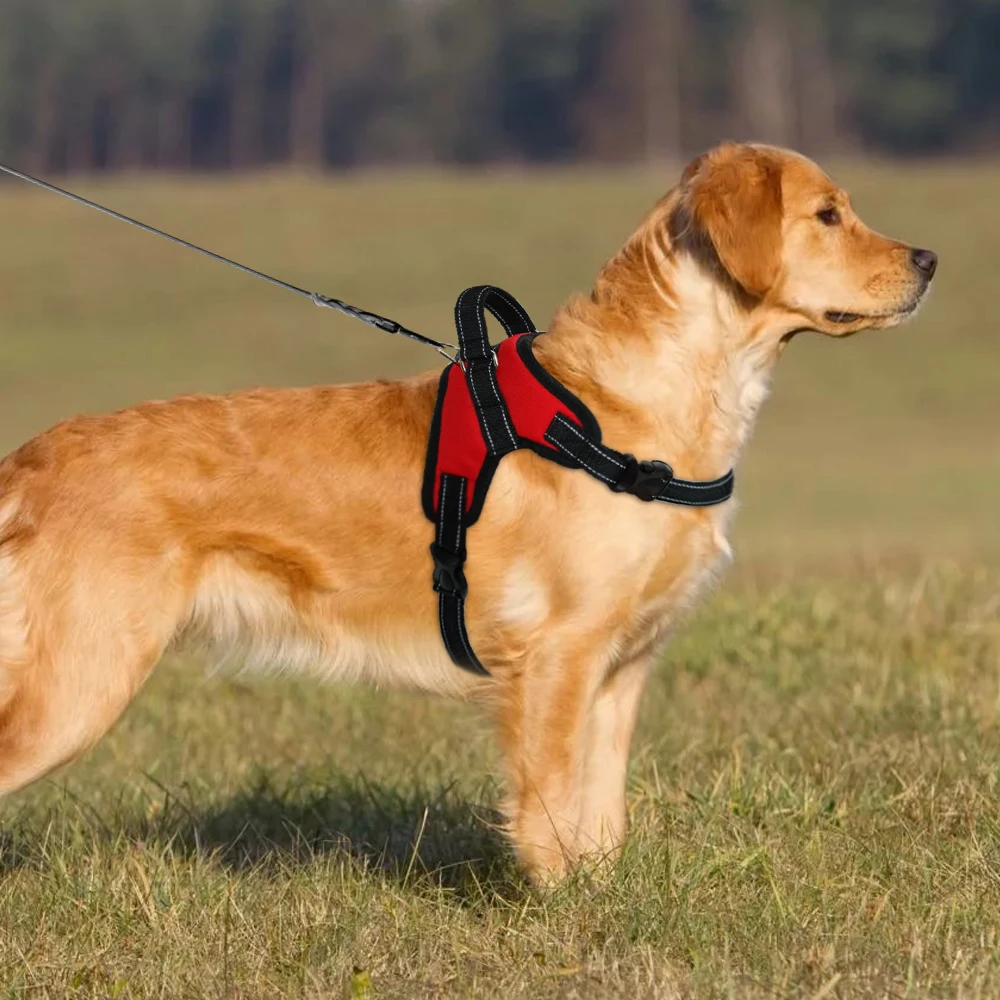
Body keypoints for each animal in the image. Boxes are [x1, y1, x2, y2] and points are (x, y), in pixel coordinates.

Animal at [0, 143, 936, 884]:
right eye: (828, 215)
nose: (929, 259)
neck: (626, 406)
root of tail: (30, 458)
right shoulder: (559, 653)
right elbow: (552, 805)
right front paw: (562, 908)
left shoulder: (622, 665)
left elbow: (602, 810)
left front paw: (605, 894)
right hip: (76, 684)